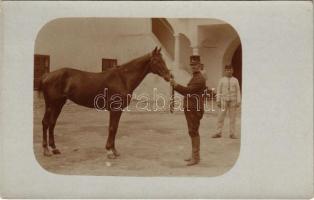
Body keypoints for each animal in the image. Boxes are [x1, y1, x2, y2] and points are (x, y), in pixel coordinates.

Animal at [39, 47, 172, 158]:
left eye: (163, 60)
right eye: (157, 61)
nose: (169, 76)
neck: (123, 78)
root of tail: (46, 76)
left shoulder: (118, 110)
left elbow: (115, 128)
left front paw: (114, 151)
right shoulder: (115, 109)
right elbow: (112, 128)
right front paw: (109, 151)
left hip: (59, 104)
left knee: (52, 123)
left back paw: (54, 149)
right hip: (50, 104)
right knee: (45, 122)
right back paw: (46, 151)